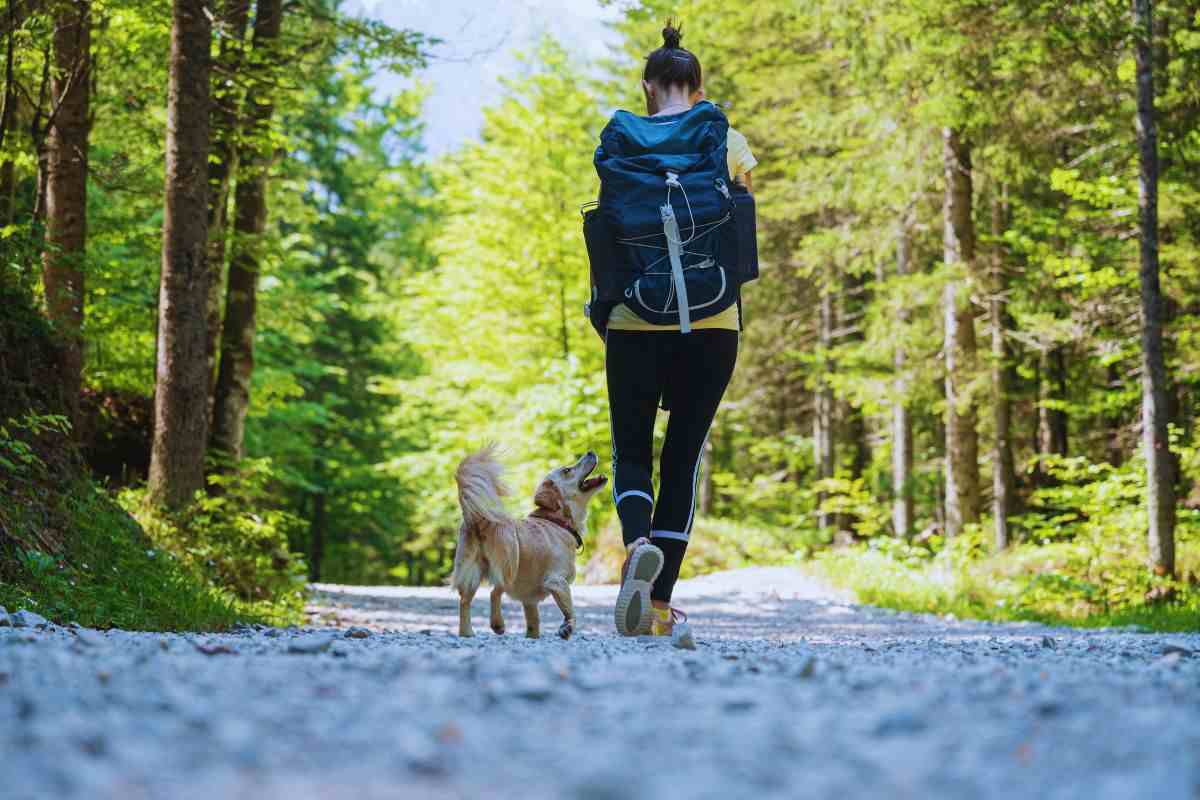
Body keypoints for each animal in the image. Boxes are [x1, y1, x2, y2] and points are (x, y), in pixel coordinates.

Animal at [448, 448, 604, 642]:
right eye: (567, 470)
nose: (590, 451)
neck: (558, 522)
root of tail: (478, 518)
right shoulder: (557, 582)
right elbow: (571, 612)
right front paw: (566, 628)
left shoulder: (530, 600)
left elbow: (534, 623)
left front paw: (533, 637)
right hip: (510, 560)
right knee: (495, 591)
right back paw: (498, 624)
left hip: (470, 572)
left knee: (464, 601)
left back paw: (467, 633)